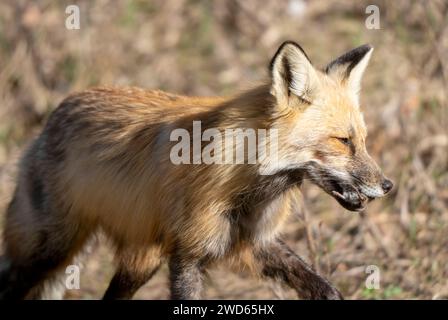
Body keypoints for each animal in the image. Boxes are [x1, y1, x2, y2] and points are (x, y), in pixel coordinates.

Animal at [0, 41, 392, 298]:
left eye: (363, 141)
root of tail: (58, 109)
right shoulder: (188, 255)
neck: (245, 186)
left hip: (139, 262)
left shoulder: (255, 243)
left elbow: (319, 283)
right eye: (343, 141)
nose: (387, 186)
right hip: (48, 251)